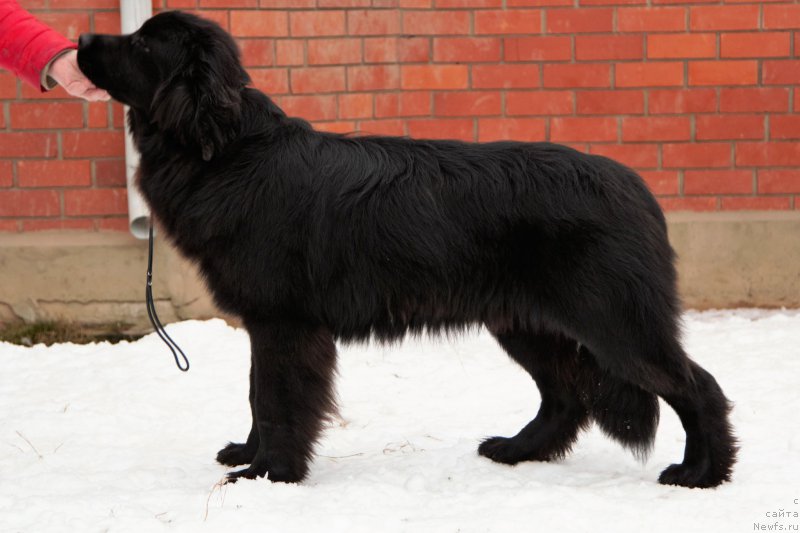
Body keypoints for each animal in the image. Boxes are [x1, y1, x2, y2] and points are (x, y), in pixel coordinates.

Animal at [75, 11, 736, 486]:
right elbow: (258, 394)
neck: (228, 148)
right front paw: (250, 455)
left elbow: (280, 400)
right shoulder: (268, 325)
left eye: (142, 46)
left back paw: (702, 473)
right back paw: (517, 450)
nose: (79, 37)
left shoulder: (285, 323)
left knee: (697, 385)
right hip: (527, 322)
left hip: (613, 320)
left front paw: (269, 475)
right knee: (566, 395)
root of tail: (636, 188)